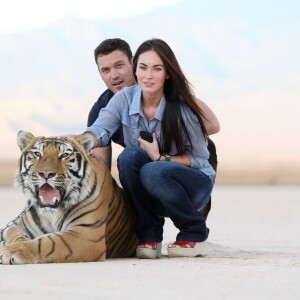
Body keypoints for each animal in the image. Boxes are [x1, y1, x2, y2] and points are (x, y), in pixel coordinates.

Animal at [0, 130, 138, 264]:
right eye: (37, 154)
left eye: (64, 155)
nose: (46, 173)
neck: (51, 213)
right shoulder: (16, 225)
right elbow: (16, 235)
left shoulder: (86, 233)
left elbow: (46, 242)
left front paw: (12, 250)